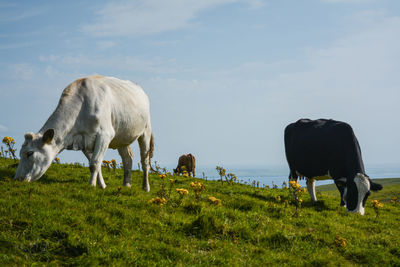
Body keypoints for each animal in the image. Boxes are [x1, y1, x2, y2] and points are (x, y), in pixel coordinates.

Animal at [14, 75, 155, 192]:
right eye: (20, 153)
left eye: (30, 153)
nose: (17, 179)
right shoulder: (84, 140)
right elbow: (95, 164)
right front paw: (102, 185)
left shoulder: (105, 135)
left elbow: (94, 163)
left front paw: (91, 185)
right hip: (122, 137)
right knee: (127, 159)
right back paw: (126, 184)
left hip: (146, 131)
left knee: (145, 161)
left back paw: (146, 187)